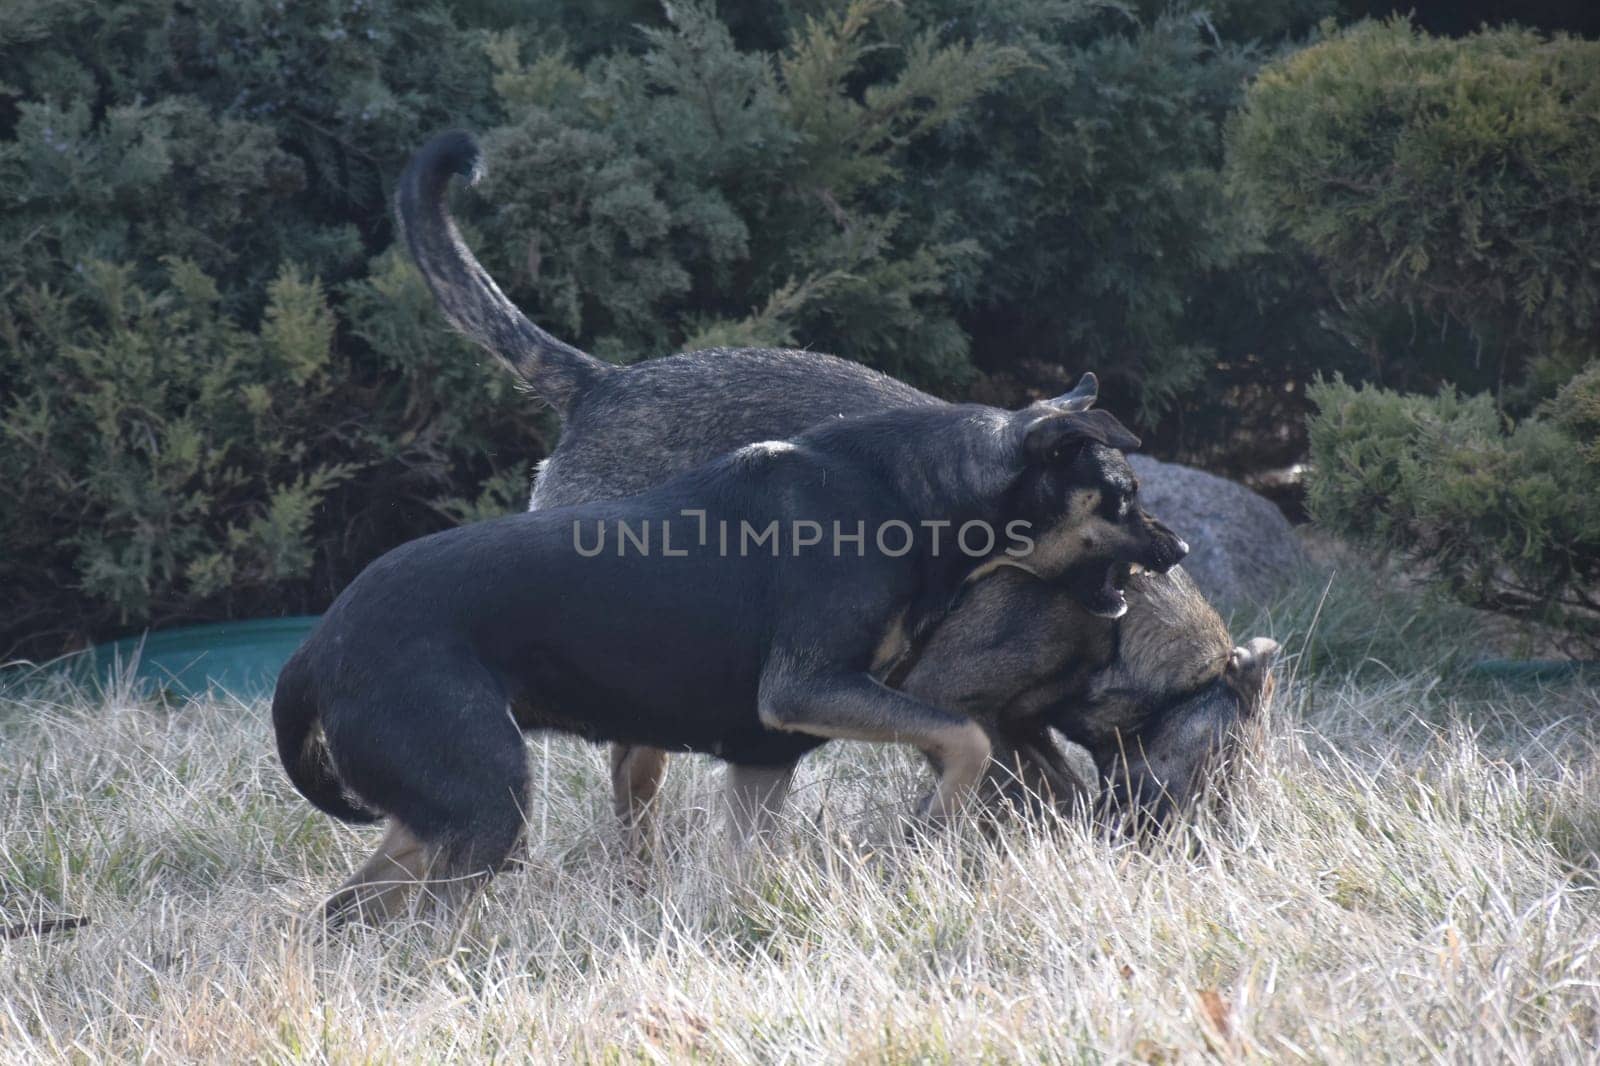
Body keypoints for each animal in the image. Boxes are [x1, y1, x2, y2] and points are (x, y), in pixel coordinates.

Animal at [268, 398, 1184, 921]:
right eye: (1125, 495)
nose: (1176, 551)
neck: (911, 492)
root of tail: (310, 651)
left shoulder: (763, 757)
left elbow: (744, 864)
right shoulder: (805, 688)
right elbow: (968, 738)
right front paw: (925, 834)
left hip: (441, 811)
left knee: (346, 911)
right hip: (485, 804)